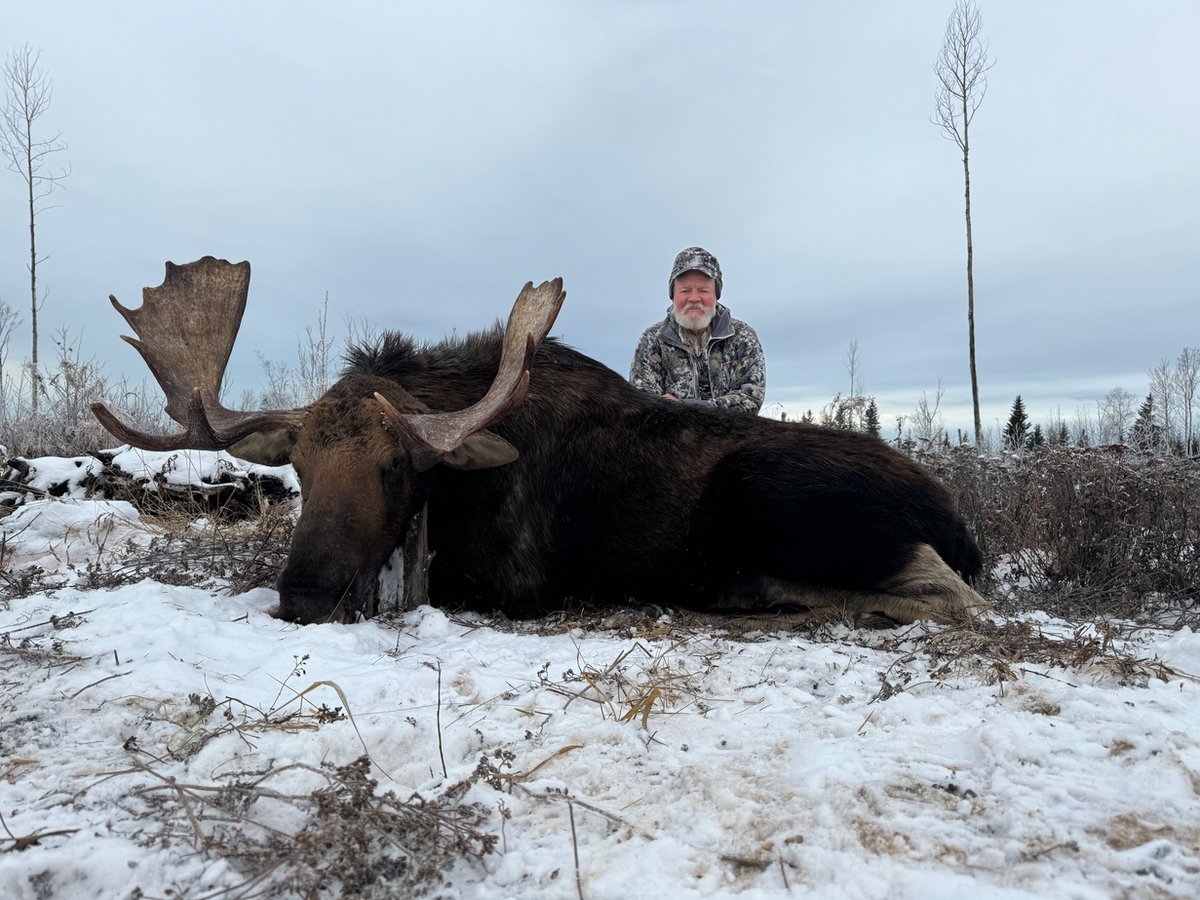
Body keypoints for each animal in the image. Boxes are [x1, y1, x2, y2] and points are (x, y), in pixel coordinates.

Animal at [92, 256, 987, 627]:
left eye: (397, 469)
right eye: (301, 467)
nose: (306, 595)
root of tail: (959, 520)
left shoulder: (515, 583)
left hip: (765, 490)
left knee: (953, 593)